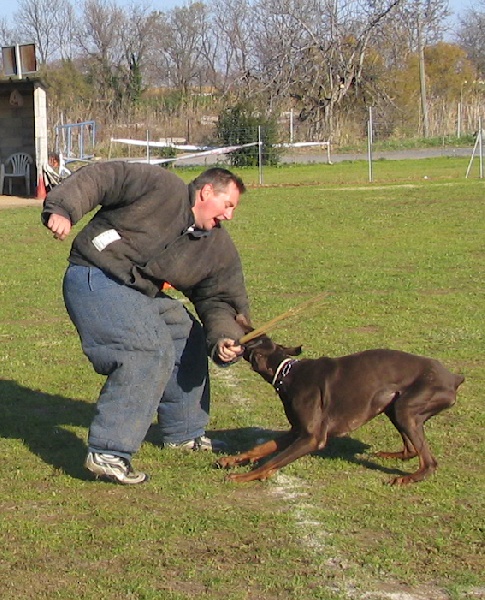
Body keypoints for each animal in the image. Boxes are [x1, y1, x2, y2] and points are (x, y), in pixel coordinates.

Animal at [217, 318, 464, 482]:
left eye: (253, 334)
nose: (239, 316)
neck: (287, 373)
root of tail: (453, 377)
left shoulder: (311, 437)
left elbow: (272, 460)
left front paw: (243, 476)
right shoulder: (296, 431)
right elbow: (263, 447)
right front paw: (233, 460)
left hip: (407, 408)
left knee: (429, 462)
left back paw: (409, 478)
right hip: (393, 405)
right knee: (411, 450)